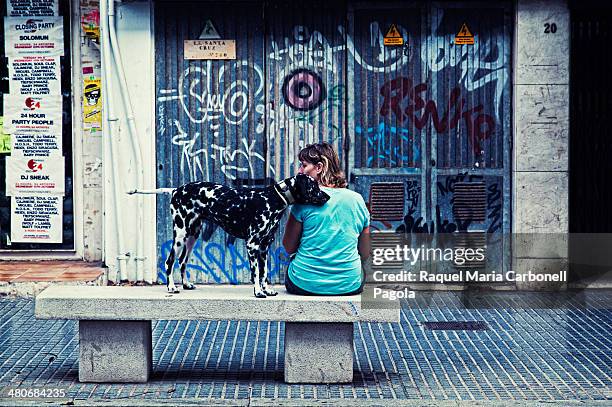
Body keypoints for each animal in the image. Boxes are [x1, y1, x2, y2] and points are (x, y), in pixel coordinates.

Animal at [159, 174, 330, 298]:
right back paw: (171, 287)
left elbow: (264, 274)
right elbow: (256, 273)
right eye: (313, 186)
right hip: (180, 234)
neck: (273, 198)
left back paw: (186, 284)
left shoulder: (264, 247)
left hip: (192, 236)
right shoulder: (252, 245)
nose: (327, 196)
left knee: (182, 261)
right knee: (169, 261)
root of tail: (176, 190)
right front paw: (258, 292)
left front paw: (266, 290)